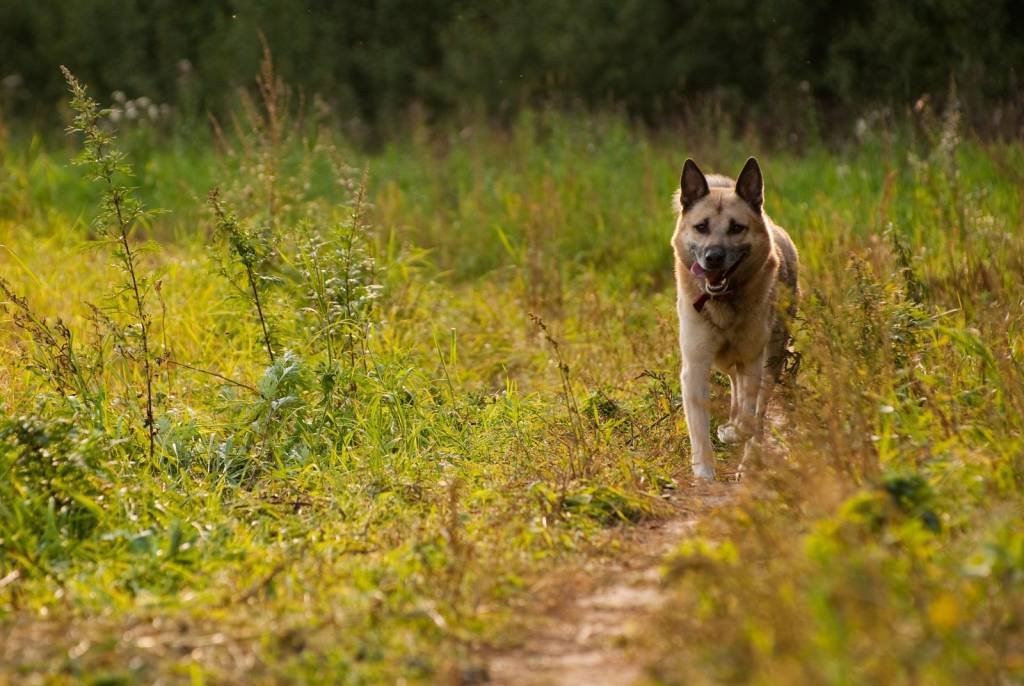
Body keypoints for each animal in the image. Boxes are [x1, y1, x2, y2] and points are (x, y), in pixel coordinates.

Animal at [671, 158, 798, 480]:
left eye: (737, 228)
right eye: (701, 227)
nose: (713, 256)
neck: (723, 303)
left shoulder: (754, 361)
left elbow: (748, 416)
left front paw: (733, 434)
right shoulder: (696, 366)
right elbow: (699, 428)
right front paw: (704, 473)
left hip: (770, 357)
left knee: (756, 411)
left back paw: (748, 459)